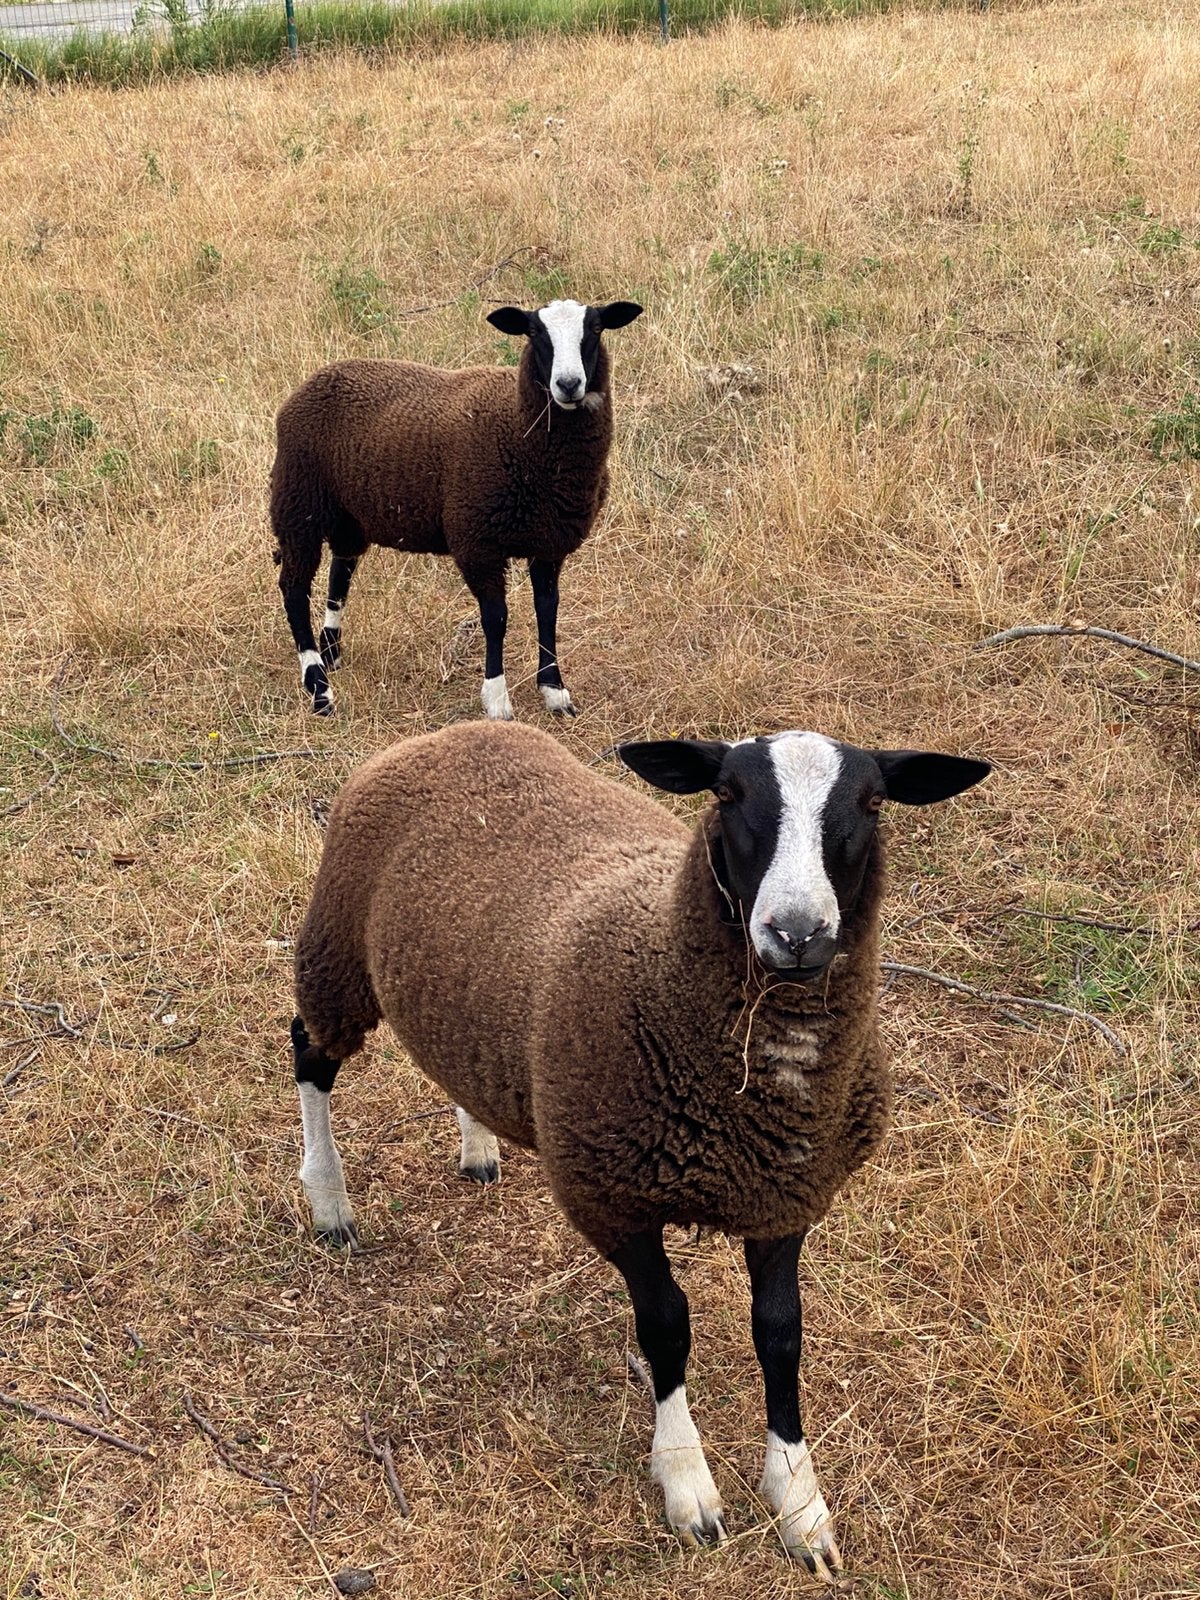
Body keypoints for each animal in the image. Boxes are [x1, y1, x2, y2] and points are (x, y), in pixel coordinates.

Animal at [269, 298, 642, 719]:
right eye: (534, 333)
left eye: (595, 328)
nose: (567, 384)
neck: (518, 430)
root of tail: (312, 382)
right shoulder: (477, 542)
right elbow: (496, 618)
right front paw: (497, 699)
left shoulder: (548, 542)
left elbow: (548, 609)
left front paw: (554, 690)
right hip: (298, 502)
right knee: (294, 589)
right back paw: (318, 686)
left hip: (348, 514)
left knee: (340, 573)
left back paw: (331, 651)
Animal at [289, 720, 990, 1571]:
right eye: (727, 793)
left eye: (874, 802)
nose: (797, 933)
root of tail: (454, 730)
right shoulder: (613, 1196)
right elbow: (666, 1328)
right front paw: (688, 1483)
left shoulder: (786, 1198)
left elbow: (782, 1334)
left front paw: (799, 1502)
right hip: (337, 948)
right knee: (308, 1053)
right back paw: (330, 1201)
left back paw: (478, 1143)